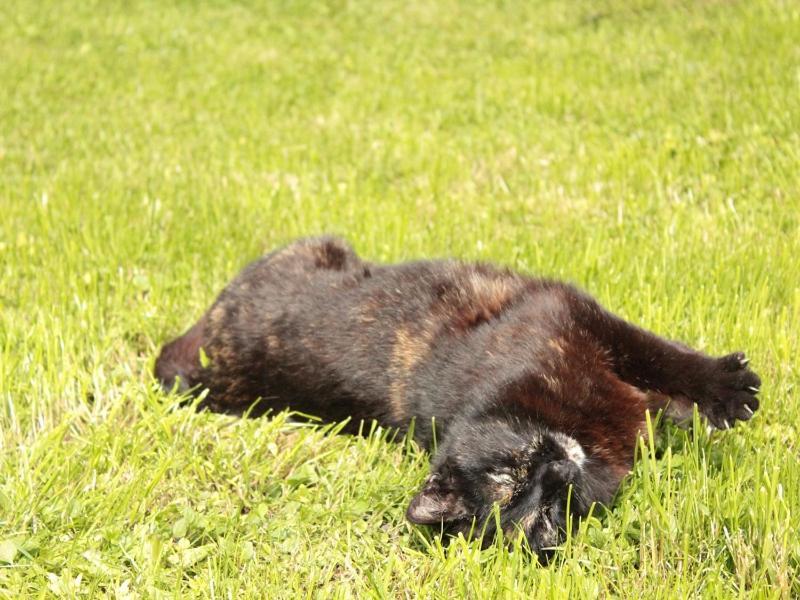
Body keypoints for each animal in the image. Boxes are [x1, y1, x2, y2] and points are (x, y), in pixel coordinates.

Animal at [153, 234, 760, 556]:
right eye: (542, 514)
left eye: (515, 469)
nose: (559, 472)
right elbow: (661, 371)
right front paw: (714, 400)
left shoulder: (580, 320)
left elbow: (665, 359)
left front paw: (721, 391)